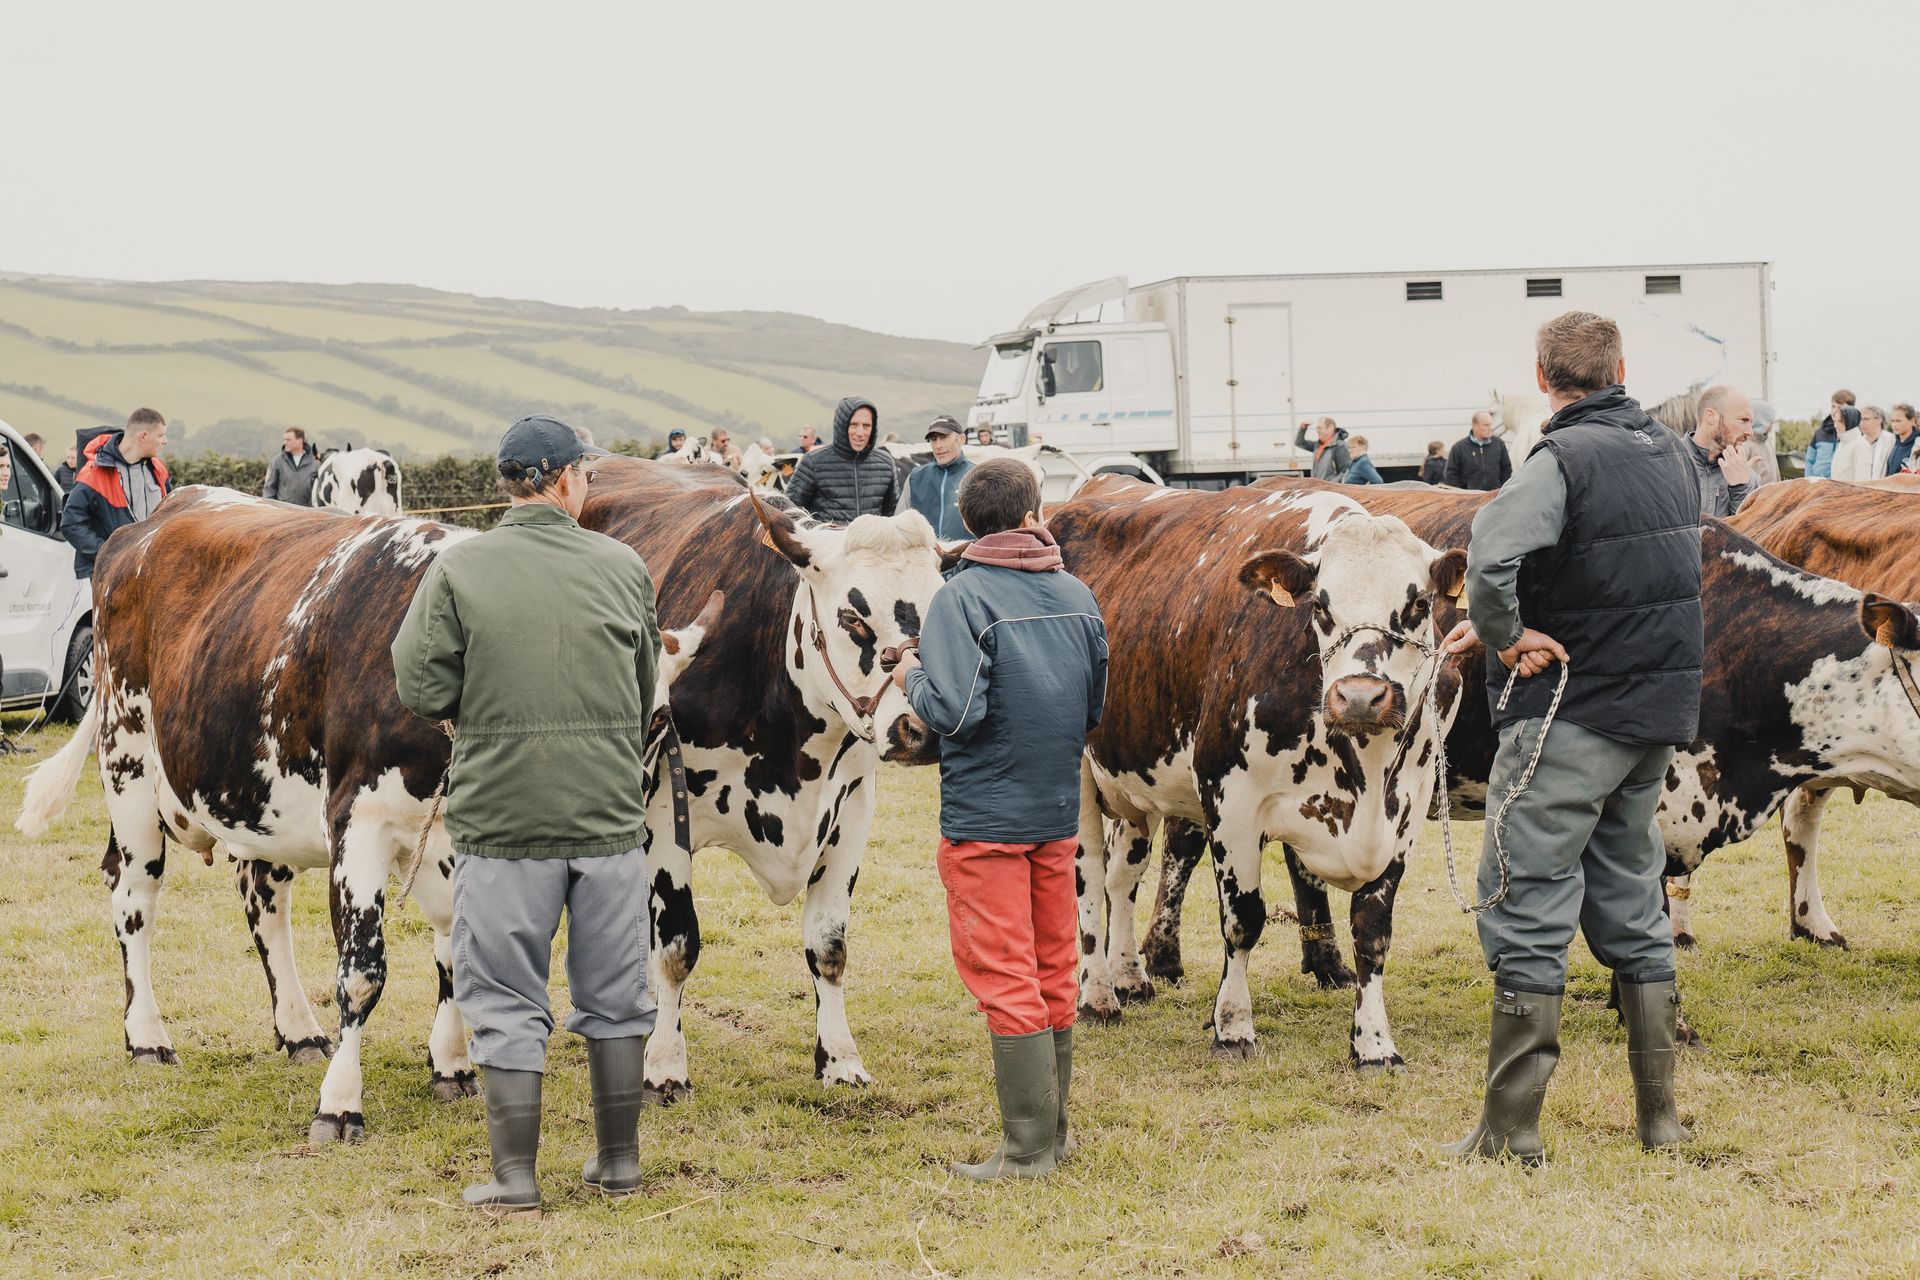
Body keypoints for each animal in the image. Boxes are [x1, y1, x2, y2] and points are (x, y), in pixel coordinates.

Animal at [13, 487, 721, 1143]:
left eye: (658, 723)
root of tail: (158, 516)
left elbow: (457, 952)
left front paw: (451, 1066)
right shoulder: (357, 819)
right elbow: (361, 972)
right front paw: (339, 1104)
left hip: (261, 802)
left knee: (261, 900)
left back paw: (298, 1031)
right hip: (127, 760)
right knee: (134, 898)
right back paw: (147, 1038)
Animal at [576, 458, 952, 1105]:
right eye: (851, 617)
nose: (920, 729)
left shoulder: (853, 808)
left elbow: (829, 947)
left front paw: (839, 1059)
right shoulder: (663, 811)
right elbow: (675, 946)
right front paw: (665, 1063)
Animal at [1044, 475, 1459, 1066]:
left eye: (1419, 603)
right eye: (1321, 606)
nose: (1360, 697)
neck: (1365, 770)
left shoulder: (1407, 810)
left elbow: (1372, 930)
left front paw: (1375, 1043)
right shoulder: (1230, 797)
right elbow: (1244, 919)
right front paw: (1233, 1027)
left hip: (1135, 784)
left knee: (1123, 877)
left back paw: (1131, 977)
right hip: (1077, 777)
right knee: (1088, 880)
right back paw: (1098, 995)